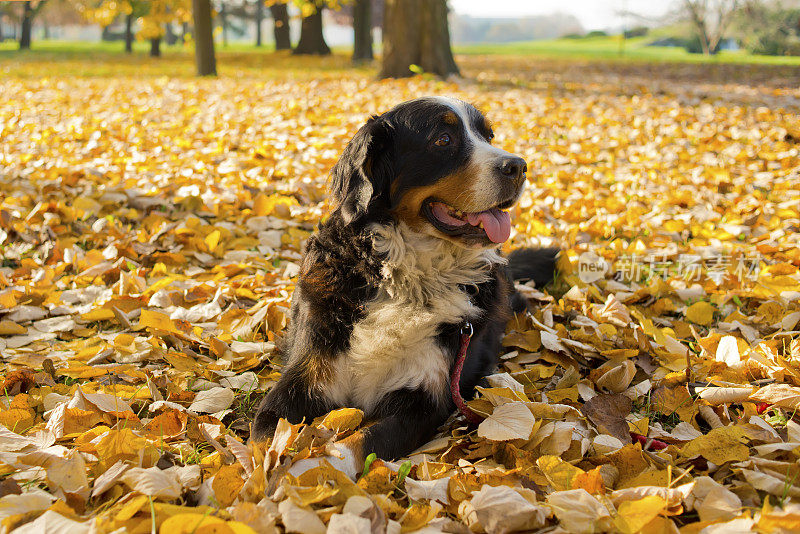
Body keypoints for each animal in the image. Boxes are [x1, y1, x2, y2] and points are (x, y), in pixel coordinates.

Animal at [250, 96, 556, 478]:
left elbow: (355, 444)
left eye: (488, 136)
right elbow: (265, 441)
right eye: (443, 140)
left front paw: (309, 474)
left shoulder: (422, 399)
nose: (518, 166)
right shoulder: (302, 380)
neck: (410, 277)